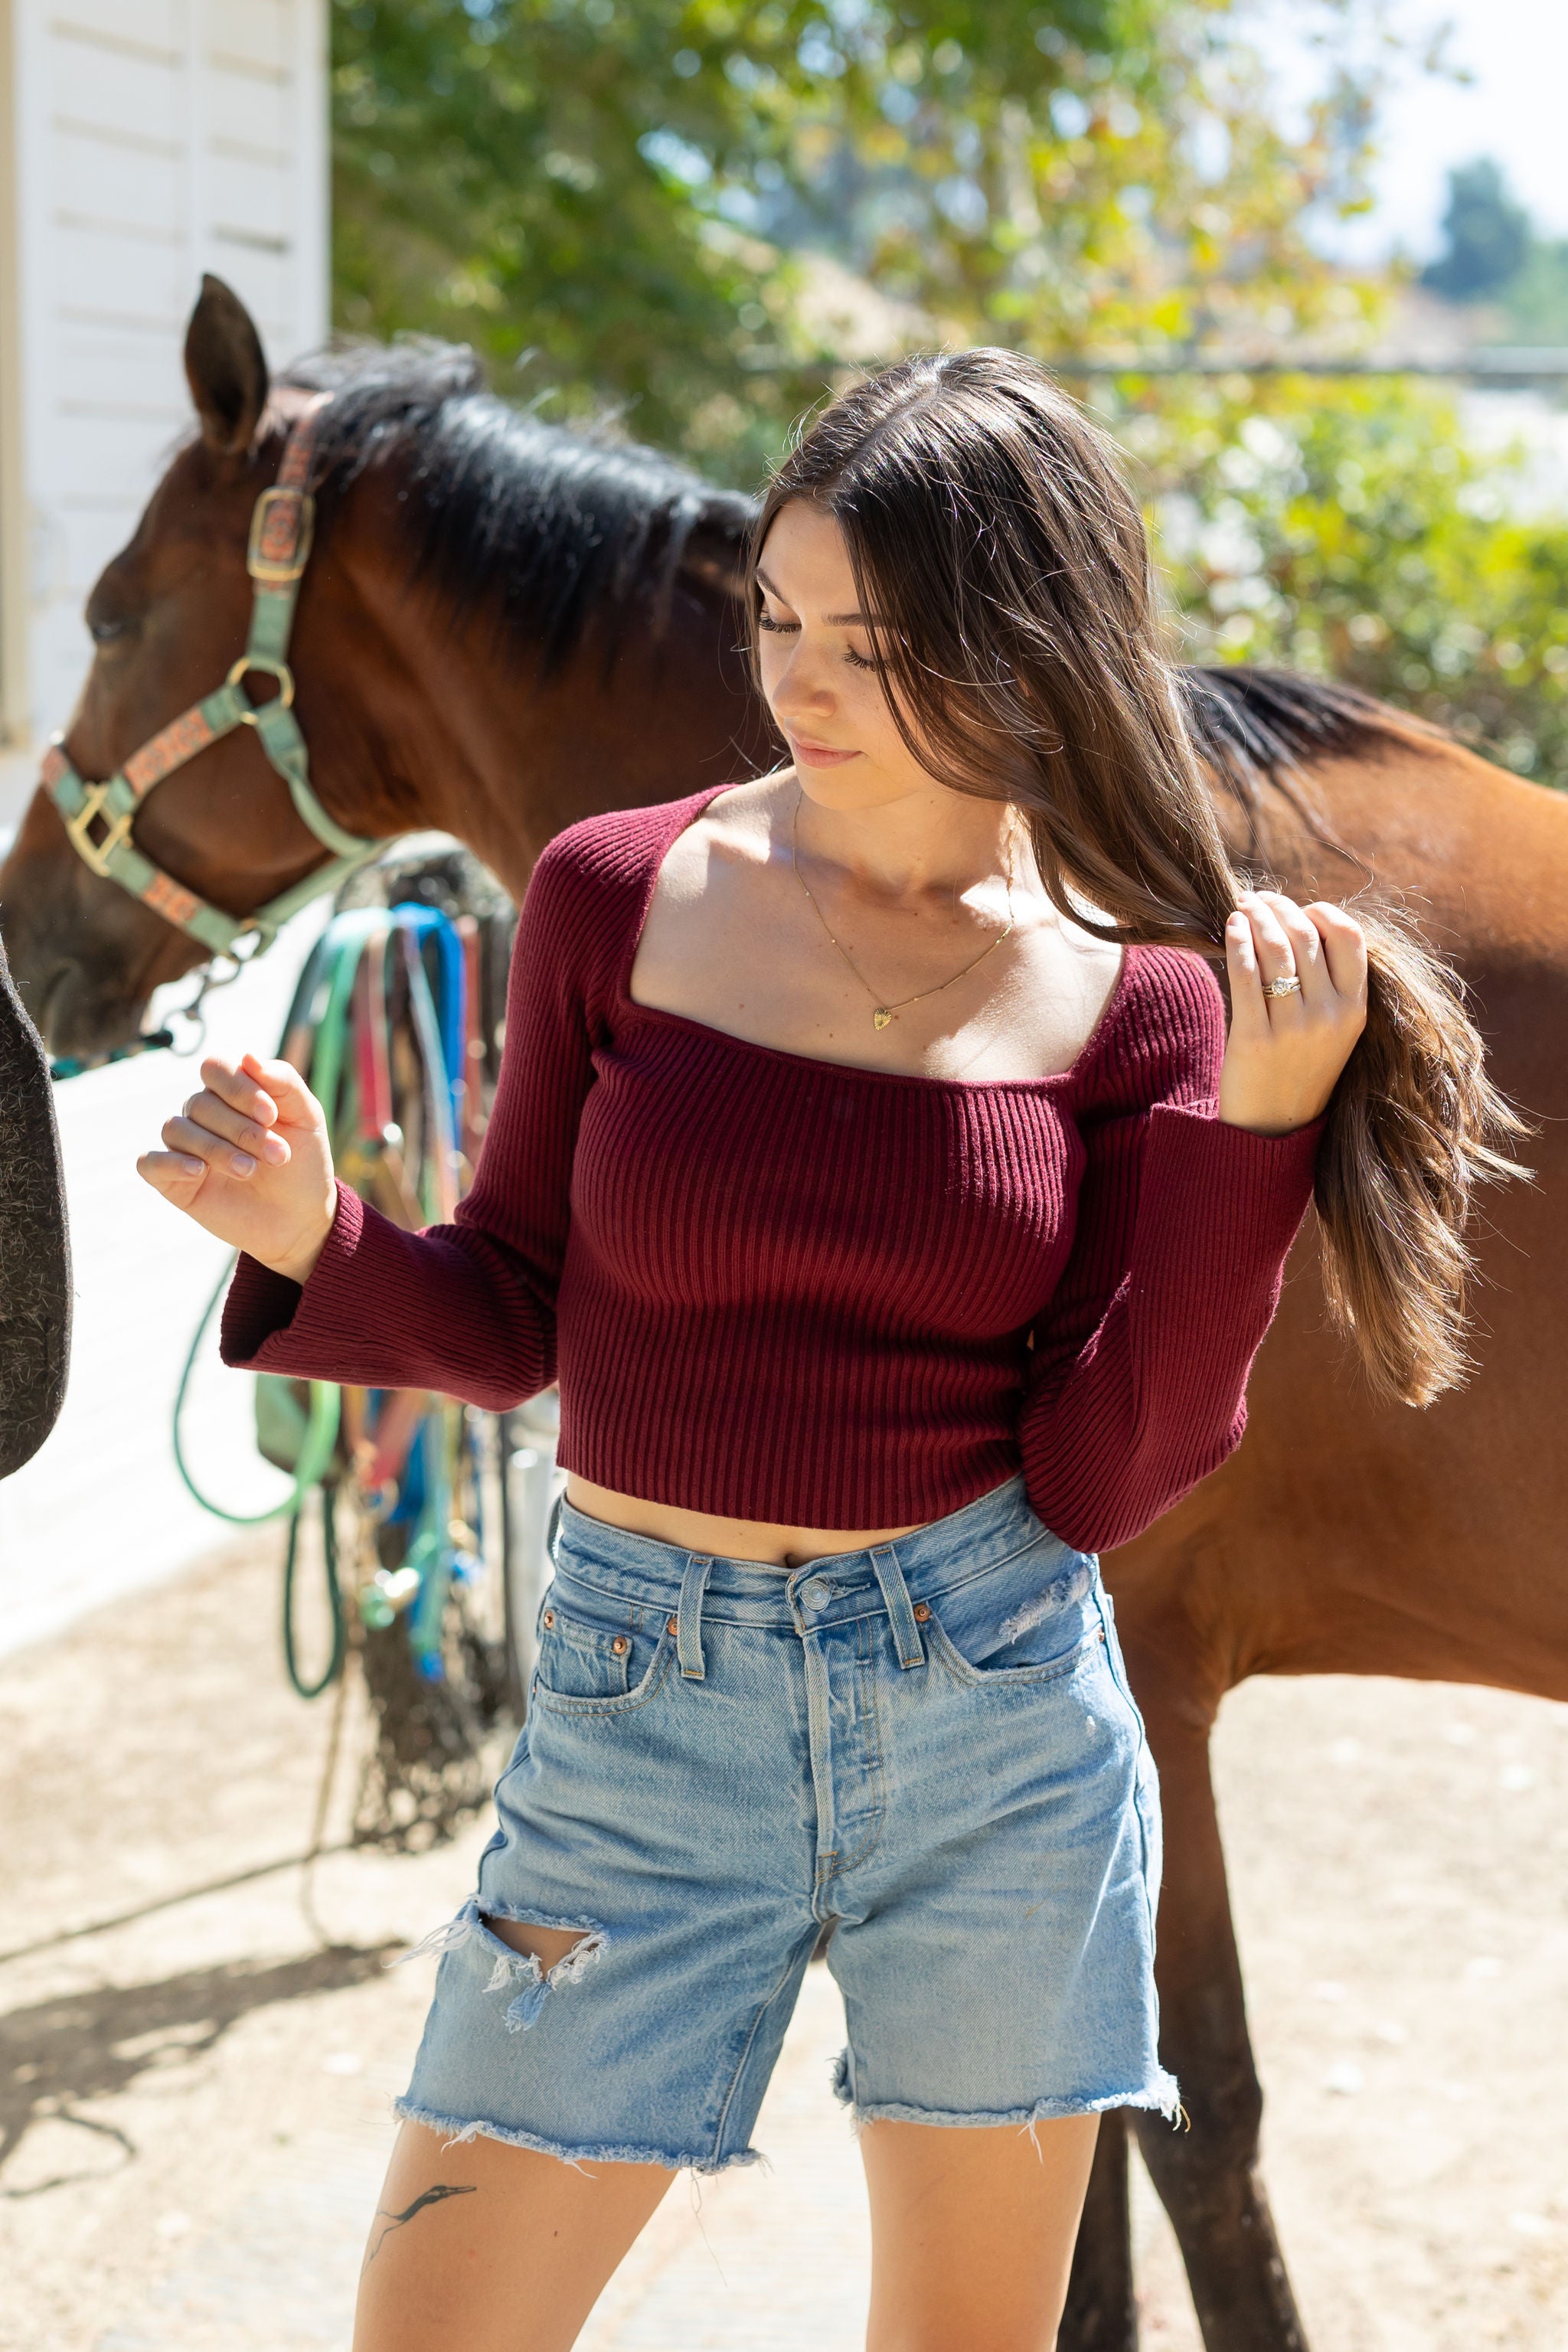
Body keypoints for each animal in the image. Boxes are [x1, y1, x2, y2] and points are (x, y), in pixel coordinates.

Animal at [6, 284, 1560, 2342]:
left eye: (111, 614)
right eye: (783, 626)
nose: (24, 932)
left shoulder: (1147, 1662)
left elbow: (1186, 2131)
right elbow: (1098, 2171)